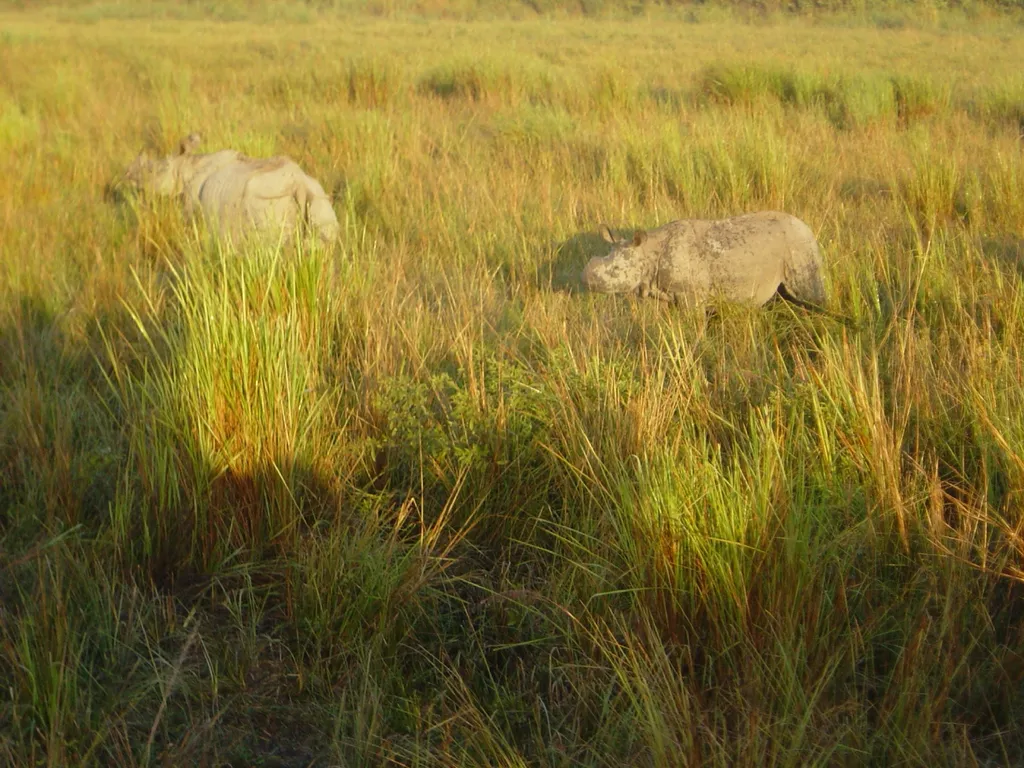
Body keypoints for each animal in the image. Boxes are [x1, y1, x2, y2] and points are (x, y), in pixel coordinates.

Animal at [122, 133, 340, 244]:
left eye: (154, 170)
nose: (128, 174)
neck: (187, 166)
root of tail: (299, 186)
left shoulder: (191, 206)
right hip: (320, 204)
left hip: (266, 205)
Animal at [582, 211, 827, 309]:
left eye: (615, 269)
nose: (586, 282)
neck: (648, 252)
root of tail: (808, 227)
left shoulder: (691, 294)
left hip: (799, 246)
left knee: (808, 294)